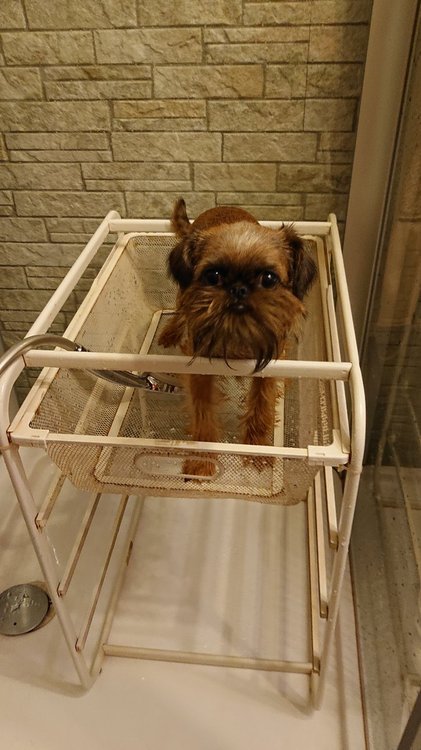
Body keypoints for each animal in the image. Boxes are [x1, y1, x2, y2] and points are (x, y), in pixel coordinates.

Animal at [158, 198, 317, 477]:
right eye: (213, 276)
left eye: (268, 279)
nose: (238, 289)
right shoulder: (200, 372)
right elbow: (202, 413)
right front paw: (201, 462)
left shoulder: (269, 370)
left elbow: (261, 408)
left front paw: (256, 450)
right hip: (182, 294)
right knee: (180, 310)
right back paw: (171, 331)